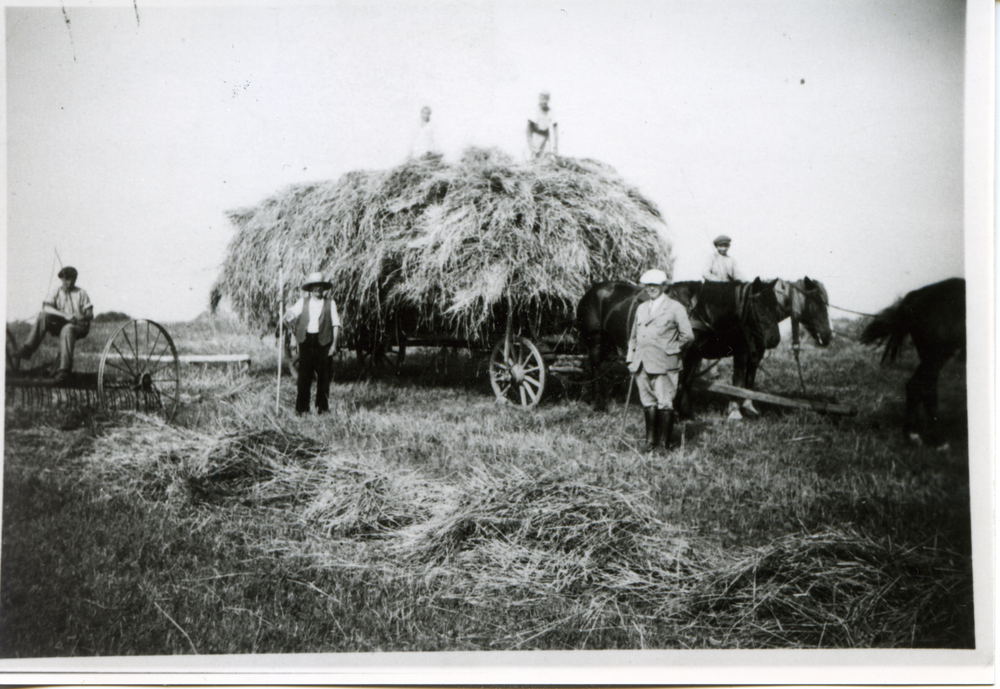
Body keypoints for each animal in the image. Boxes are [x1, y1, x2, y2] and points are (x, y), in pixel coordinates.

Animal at [576, 276, 784, 420]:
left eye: (775, 304)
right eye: (759, 304)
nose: (774, 339)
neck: (697, 309)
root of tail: (591, 291)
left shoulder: (695, 353)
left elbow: (688, 381)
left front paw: (686, 413)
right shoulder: (680, 353)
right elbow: (677, 382)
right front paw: (675, 412)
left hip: (608, 344)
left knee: (594, 367)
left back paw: (592, 397)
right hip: (595, 340)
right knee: (595, 367)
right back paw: (599, 404)